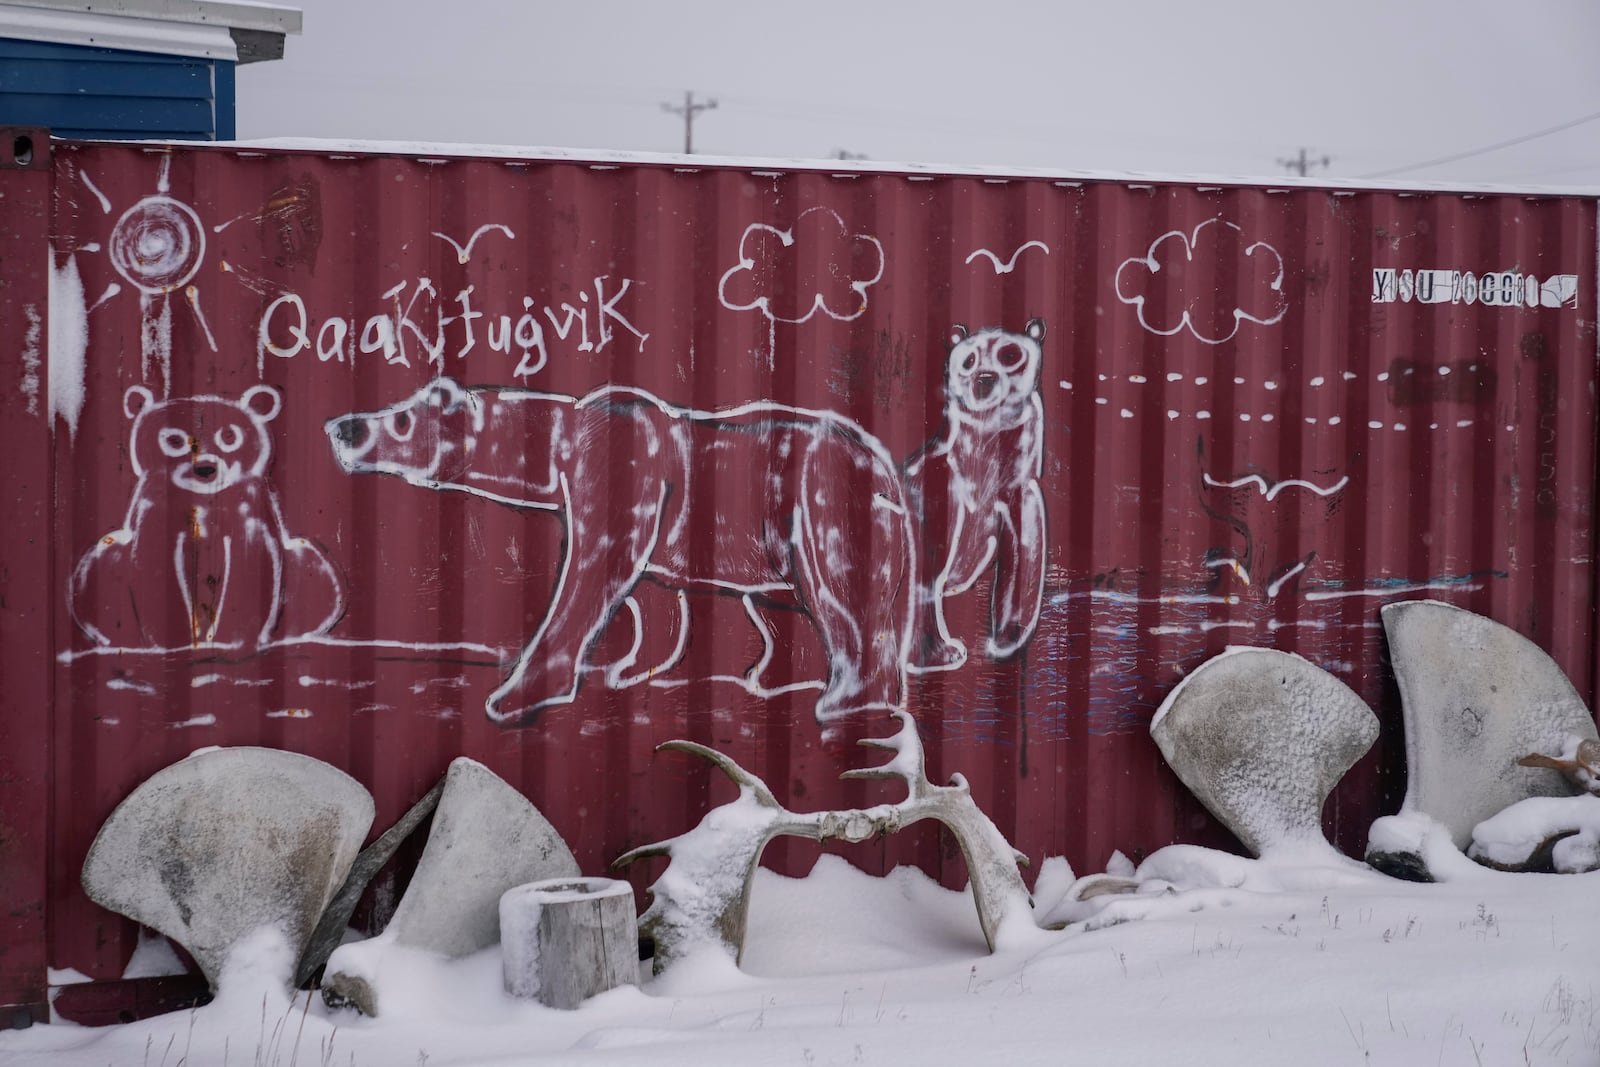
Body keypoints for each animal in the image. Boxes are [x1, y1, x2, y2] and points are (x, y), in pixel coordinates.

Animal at [72, 383, 344, 652]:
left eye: (229, 436)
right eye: (174, 440)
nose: (205, 468)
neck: (204, 502)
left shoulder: (249, 515)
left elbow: (251, 565)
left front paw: (234, 641)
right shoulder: (155, 512)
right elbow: (154, 566)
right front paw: (170, 643)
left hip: (309, 560)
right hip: (100, 561)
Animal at [324, 377, 915, 726]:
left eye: (400, 420)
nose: (341, 426)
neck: (558, 442)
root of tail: (889, 473)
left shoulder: (621, 467)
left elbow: (589, 576)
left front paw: (512, 693)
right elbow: (647, 596)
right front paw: (631, 669)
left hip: (823, 505)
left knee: (841, 598)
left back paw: (843, 700)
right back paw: (774, 678)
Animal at [902, 319, 1049, 668]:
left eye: (1009, 354)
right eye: (968, 360)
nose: (983, 379)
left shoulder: (1022, 491)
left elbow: (1024, 558)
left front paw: (1006, 641)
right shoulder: (935, 491)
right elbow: (925, 574)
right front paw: (936, 654)